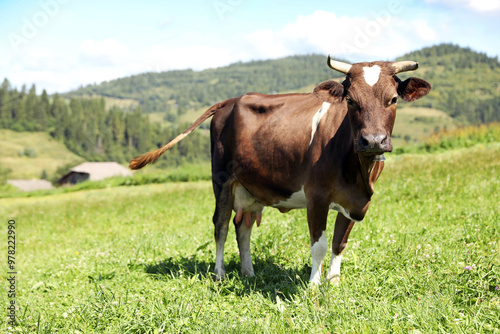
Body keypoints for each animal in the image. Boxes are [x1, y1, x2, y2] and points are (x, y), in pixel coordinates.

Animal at [131, 56, 432, 284]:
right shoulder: (317, 196)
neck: (358, 172)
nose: (373, 141)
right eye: (350, 100)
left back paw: (249, 273)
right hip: (222, 180)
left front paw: (334, 283)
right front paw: (314, 287)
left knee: (243, 228)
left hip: (251, 186)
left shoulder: (356, 202)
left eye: (393, 99)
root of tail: (231, 100)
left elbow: (339, 243)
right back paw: (220, 274)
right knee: (221, 226)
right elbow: (319, 245)